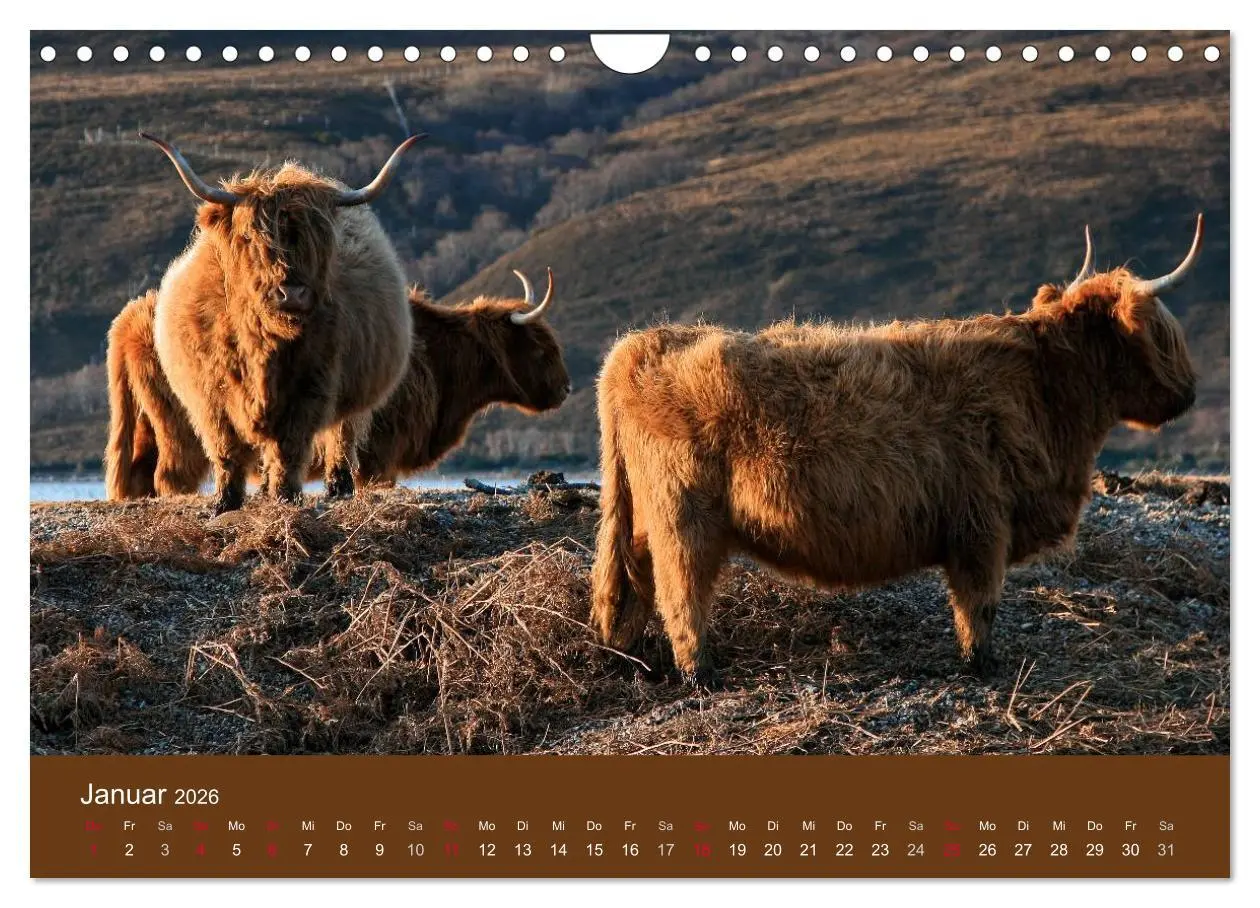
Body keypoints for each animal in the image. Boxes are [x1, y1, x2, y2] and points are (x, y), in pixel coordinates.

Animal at [104, 269, 570, 496]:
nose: (566, 389)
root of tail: (129, 317)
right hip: (185, 428)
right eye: (542, 350)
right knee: (170, 476)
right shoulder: (381, 454)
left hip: (148, 422)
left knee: (140, 473)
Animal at [142, 132, 422, 513]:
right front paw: (225, 501)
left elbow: (290, 447)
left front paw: (286, 495)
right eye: (251, 238)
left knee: (342, 436)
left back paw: (339, 487)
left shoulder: (311, 387)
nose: (293, 293)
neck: (265, 345)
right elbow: (226, 448)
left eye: (320, 241)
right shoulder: (210, 395)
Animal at [590, 216, 1204, 689]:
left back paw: (635, 657)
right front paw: (981, 664)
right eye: (1162, 330)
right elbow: (979, 603)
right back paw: (700, 673)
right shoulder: (983, 524)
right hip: (683, 515)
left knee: (633, 578)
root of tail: (641, 344)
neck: (1047, 389)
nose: (1191, 392)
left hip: (646, 515)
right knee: (681, 592)